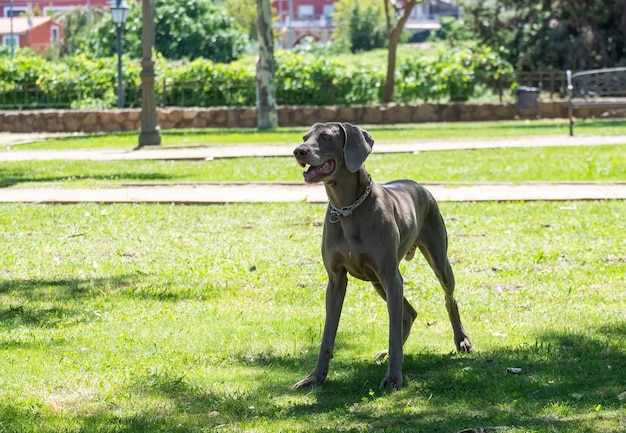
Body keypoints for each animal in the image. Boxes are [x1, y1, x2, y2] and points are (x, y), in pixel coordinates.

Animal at [290, 121, 470, 388]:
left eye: (326, 137)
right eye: (305, 137)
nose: (298, 151)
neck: (347, 208)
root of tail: (418, 185)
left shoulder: (391, 276)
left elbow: (392, 331)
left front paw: (393, 378)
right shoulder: (336, 280)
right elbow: (328, 333)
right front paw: (315, 377)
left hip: (437, 260)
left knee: (449, 298)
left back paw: (462, 340)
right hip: (376, 282)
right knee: (410, 313)